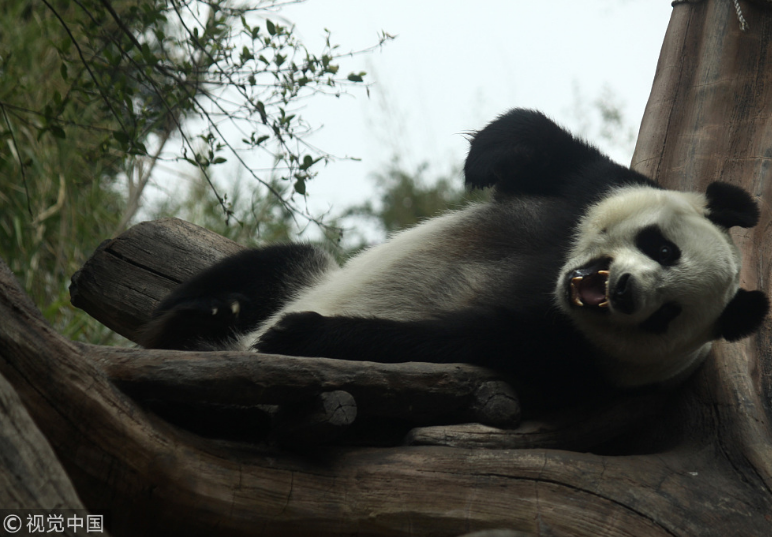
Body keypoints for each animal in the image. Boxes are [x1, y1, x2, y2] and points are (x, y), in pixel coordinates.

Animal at [142, 108, 768, 410]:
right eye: (662, 248)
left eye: (667, 314)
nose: (625, 290)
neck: (552, 278)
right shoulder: (592, 188)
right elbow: (544, 145)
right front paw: (482, 159)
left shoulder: (568, 354)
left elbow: (444, 341)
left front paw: (303, 335)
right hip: (298, 270)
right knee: (275, 265)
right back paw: (212, 309)